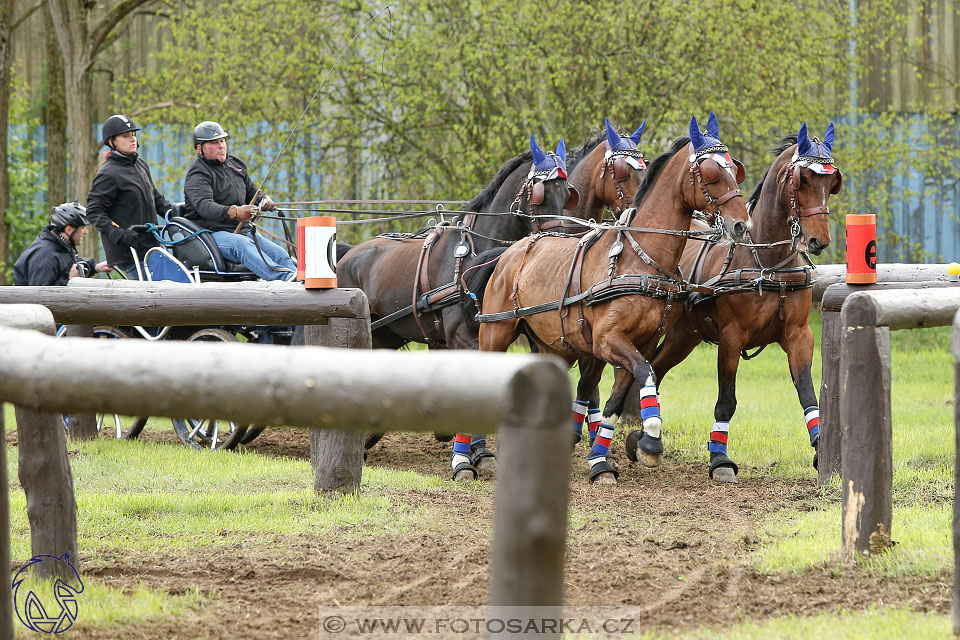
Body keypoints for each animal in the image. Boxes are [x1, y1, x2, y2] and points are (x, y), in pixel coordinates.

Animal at [472, 112, 752, 482]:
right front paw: (650, 442)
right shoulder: (608, 341)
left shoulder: (640, 342)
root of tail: (512, 250)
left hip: (552, 345)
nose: (741, 225)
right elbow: (646, 374)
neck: (640, 259)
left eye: (734, 168)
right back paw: (467, 458)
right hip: (496, 331)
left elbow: (615, 401)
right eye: (710, 173)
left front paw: (600, 460)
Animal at [644, 121, 840, 480]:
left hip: (684, 336)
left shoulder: (799, 336)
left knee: (658, 368)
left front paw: (822, 450)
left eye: (831, 183)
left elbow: (808, 394)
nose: (818, 240)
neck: (768, 264)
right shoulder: (731, 338)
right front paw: (719, 459)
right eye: (803, 180)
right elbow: (727, 400)